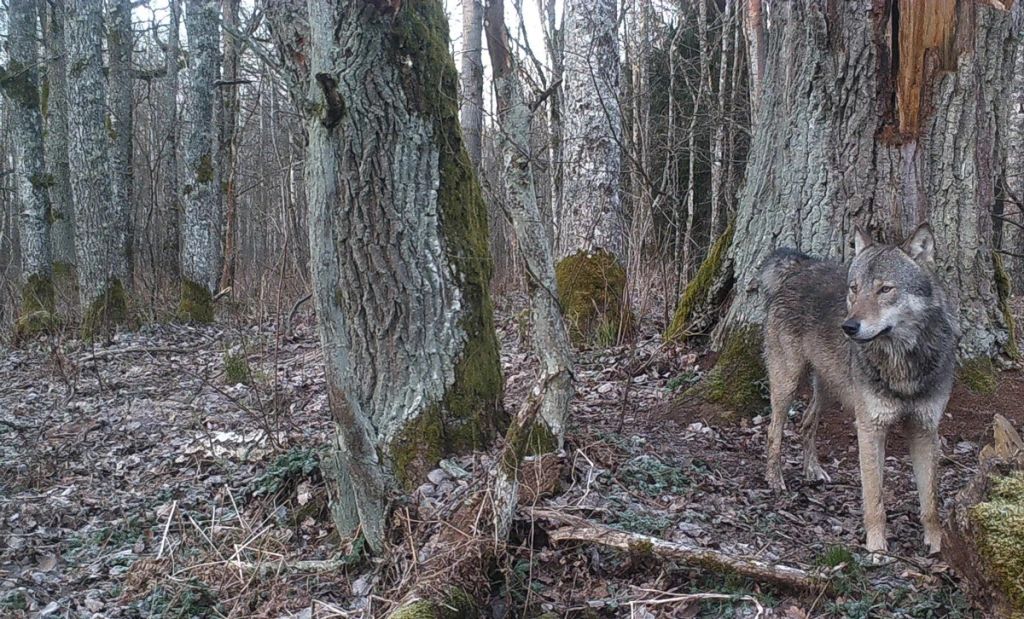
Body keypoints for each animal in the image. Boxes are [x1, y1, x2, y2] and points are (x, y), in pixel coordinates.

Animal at [765, 222, 954, 557]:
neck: (902, 365)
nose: (849, 327)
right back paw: (775, 481)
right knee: (774, 431)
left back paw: (813, 471)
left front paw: (936, 543)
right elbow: (874, 497)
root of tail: (802, 267)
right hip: (788, 382)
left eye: (885, 289)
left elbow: (930, 500)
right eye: (854, 289)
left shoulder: (924, 429)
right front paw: (877, 548)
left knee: (806, 423)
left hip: (830, 388)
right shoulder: (870, 426)